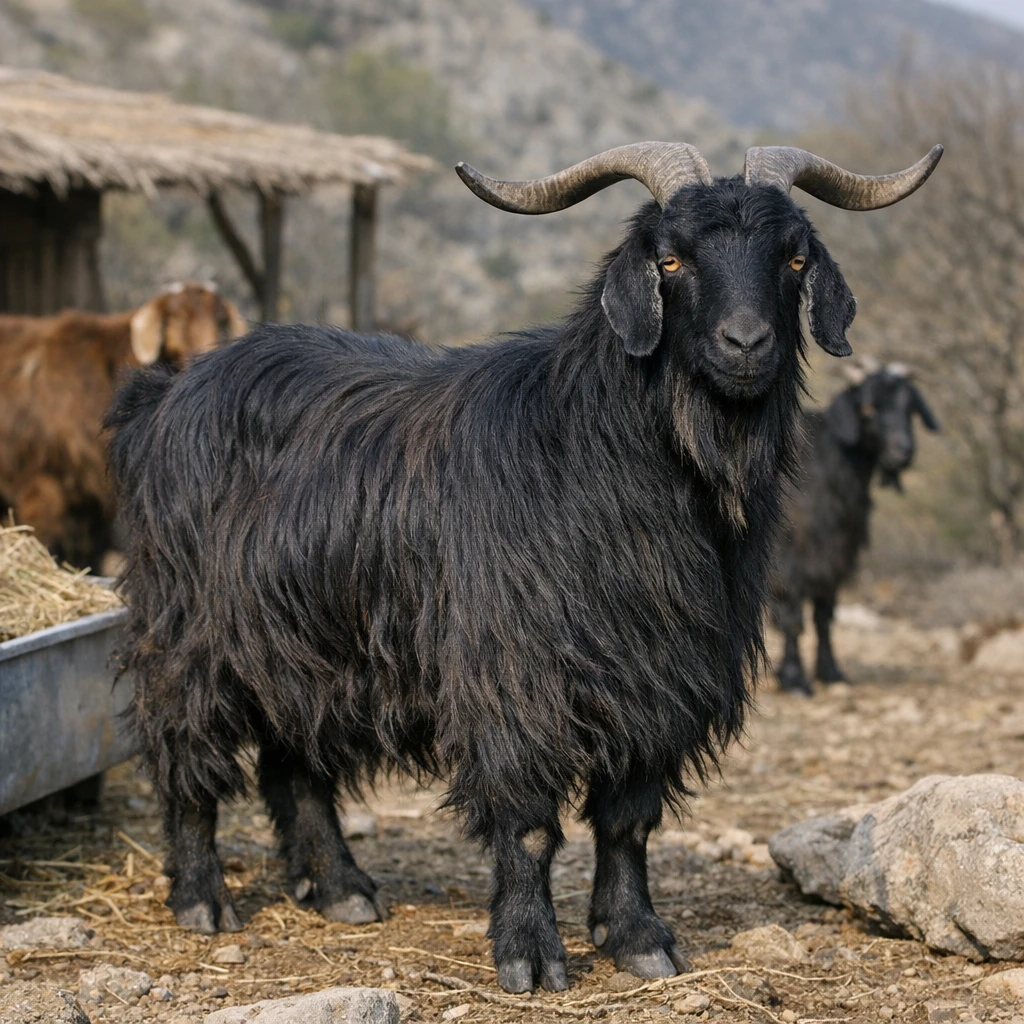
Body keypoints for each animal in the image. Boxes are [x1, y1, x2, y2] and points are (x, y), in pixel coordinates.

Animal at [772, 359, 939, 694]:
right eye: (868, 407)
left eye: (910, 407)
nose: (903, 451)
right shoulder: (788, 558)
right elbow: (792, 616)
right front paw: (794, 679)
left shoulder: (834, 557)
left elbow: (824, 615)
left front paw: (831, 672)